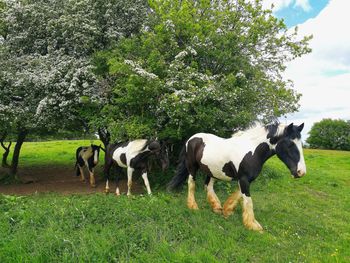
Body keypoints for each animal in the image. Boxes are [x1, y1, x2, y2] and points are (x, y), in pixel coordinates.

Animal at [167, 122, 306, 232]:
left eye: (301, 144)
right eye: (290, 144)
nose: (301, 172)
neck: (252, 151)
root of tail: (191, 138)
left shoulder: (245, 180)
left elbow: (238, 196)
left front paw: (227, 210)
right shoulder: (244, 179)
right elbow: (248, 201)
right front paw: (253, 225)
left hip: (211, 170)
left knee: (208, 186)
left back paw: (216, 207)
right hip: (192, 167)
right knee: (191, 184)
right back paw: (193, 206)